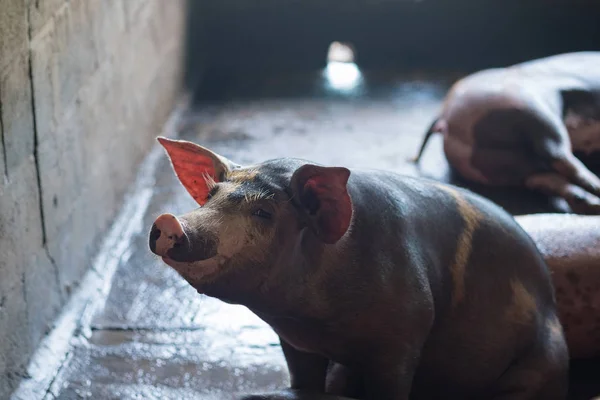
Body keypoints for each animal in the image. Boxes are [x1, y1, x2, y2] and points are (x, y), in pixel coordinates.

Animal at [149, 136, 568, 398]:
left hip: (543, 359)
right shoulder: (295, 342)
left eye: (263, 212)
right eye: (210, 197)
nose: (170, 221)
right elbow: (303, 383)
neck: (315, 322)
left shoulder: (403, 336)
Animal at [410, 53, 600, 216]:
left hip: (498, 165)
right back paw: (595, 188)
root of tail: (444, 116)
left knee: (545, 177)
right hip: (533, 110)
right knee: (559, 157)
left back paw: (591, 203)